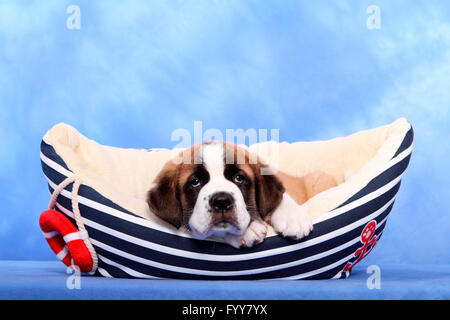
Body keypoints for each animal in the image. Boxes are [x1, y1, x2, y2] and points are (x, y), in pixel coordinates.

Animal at [149, 141, 338, 249]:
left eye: (239, 178)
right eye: (195, 182)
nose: (222, 201)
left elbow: (281, 198)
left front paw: (293, 217)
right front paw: (247, 231)